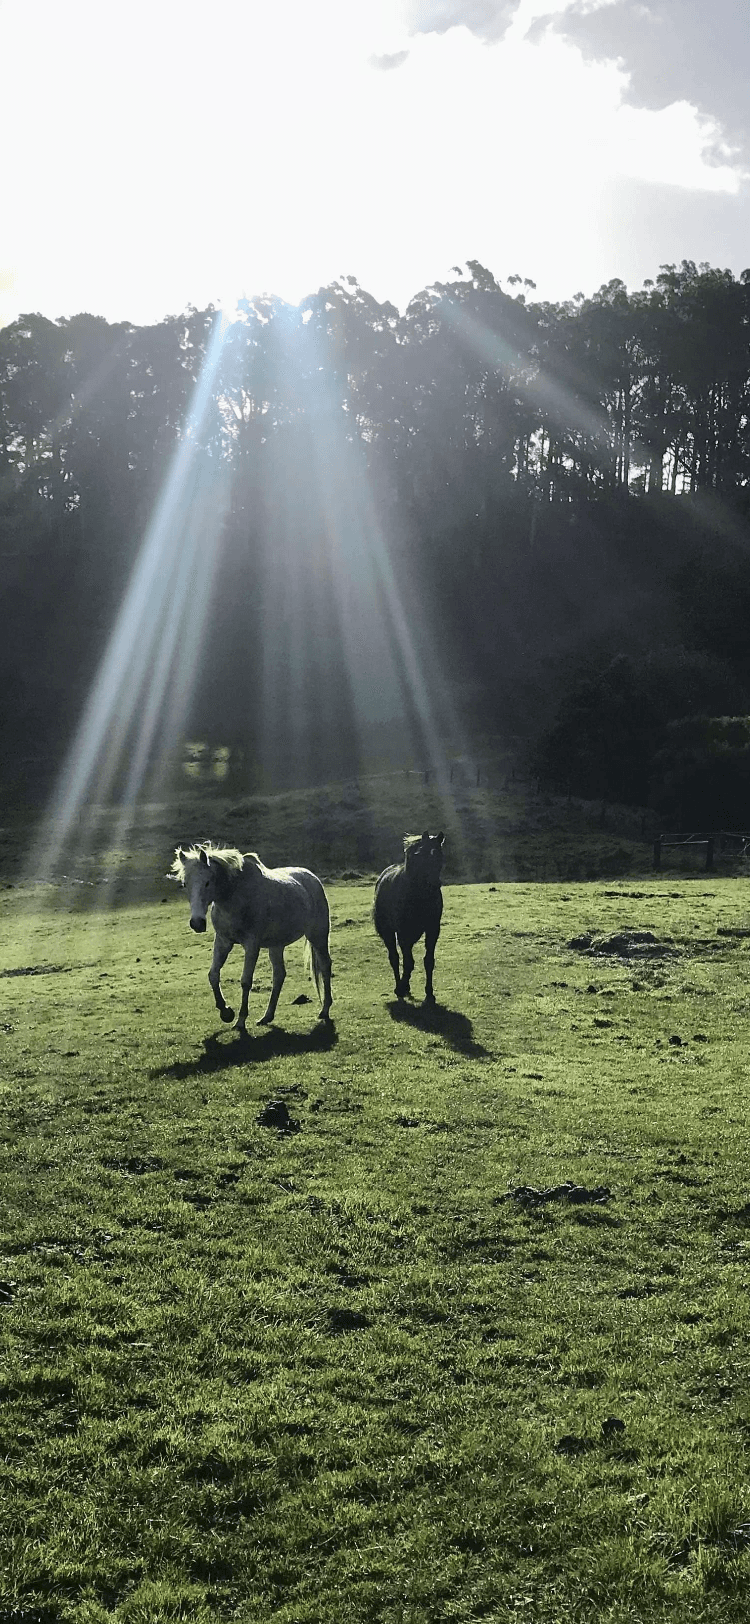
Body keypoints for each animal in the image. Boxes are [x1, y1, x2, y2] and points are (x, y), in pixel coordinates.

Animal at [171, 842, 333, 1032]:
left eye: (207, 882)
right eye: (185, 884)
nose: (197, 923)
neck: (235, 896)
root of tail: (312, 878)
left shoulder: (251, 945)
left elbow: (245, 981)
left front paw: (240, 1020)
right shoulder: (223, 941)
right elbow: (213, 975)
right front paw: (226, 1012)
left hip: (318, 935)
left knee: (325, 966)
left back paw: (325, 1010)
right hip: (276, 945)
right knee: (279, 975)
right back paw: (267, 1016)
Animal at [373, 830, 444, 1002]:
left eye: (440, 855)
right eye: (421, 855)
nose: (434, 884)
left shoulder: (433, 930)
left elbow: (428, 961)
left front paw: (429, 993)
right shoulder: (403, 933)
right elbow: (408, 963)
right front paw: (401, 988)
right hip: (389, 933)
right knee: (394, 958)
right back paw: (400, 987)